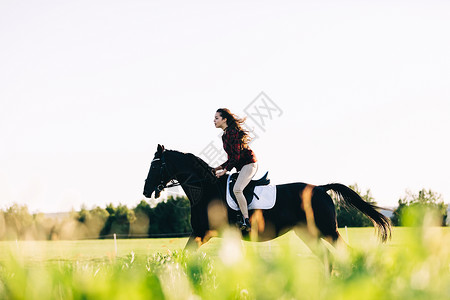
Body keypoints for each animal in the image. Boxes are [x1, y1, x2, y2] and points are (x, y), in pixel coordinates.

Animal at [143, 144, 390, 252]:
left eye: (155, 166)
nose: (146, 191)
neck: (206, 190)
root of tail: (321, 189)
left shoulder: (204, 233)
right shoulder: (201, 233)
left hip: (328, 231)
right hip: (307, 234)